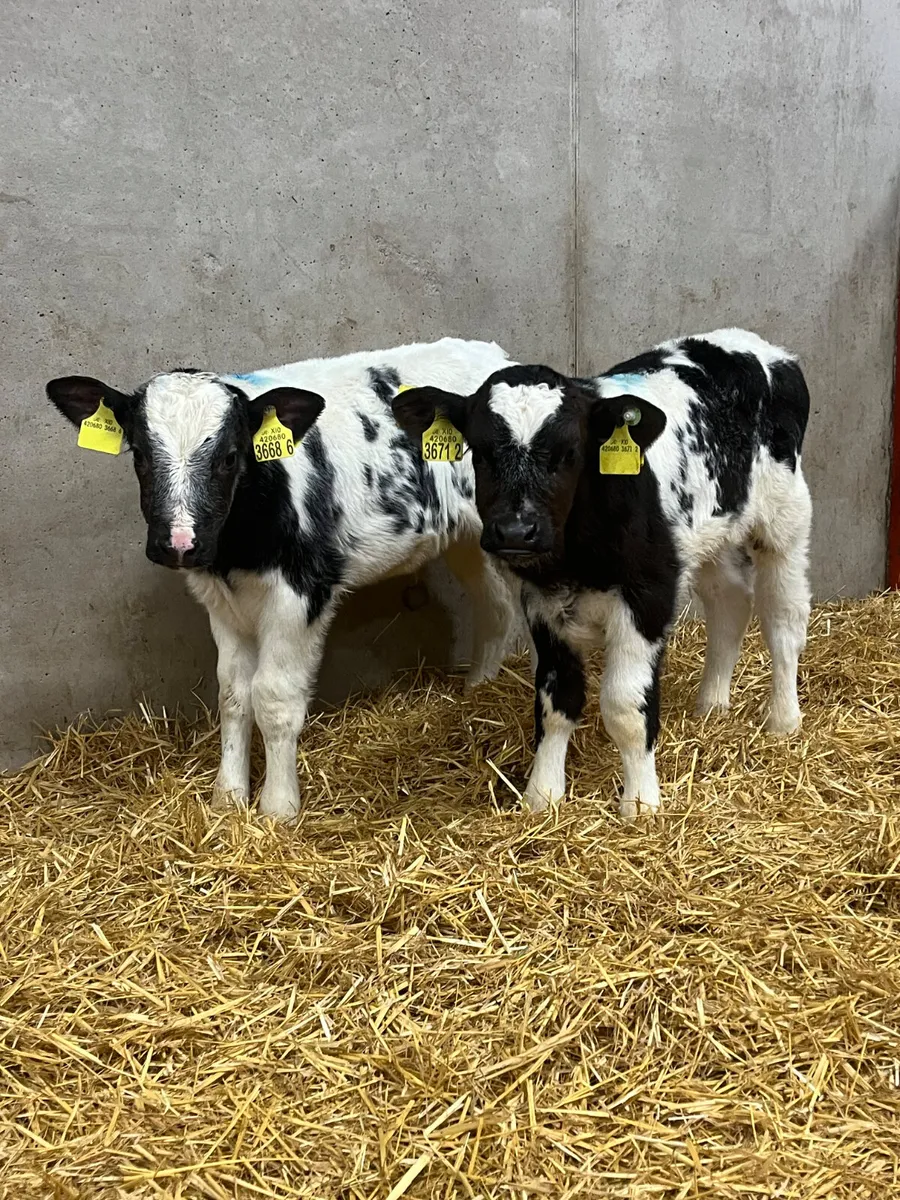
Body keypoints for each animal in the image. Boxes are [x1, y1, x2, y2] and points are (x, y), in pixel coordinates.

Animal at [47, 337, 519, 820]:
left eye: (230, 457)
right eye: (139, 455)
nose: (179, 544)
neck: (237, 552)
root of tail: (494, 356)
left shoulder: (302, 592)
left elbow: (273, 697)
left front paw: (277, 808)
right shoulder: (221, 601)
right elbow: (233, 695)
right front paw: (228, 798)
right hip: (467, 540)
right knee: (495, 607)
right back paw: (479, 688)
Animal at [391, 329, 812, 819]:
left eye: (569, 452)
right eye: (480, 451)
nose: (516, 529)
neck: (574, 558)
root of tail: (755, 346)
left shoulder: (648, 596)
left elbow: (625, 706)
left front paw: (641, 802)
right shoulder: (541, 604)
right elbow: (557, 702)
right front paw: (542, 795)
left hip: (784, 521)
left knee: (783, 621)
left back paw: (783, 718)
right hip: (705, 535)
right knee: (730, 601)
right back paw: (711, 704)